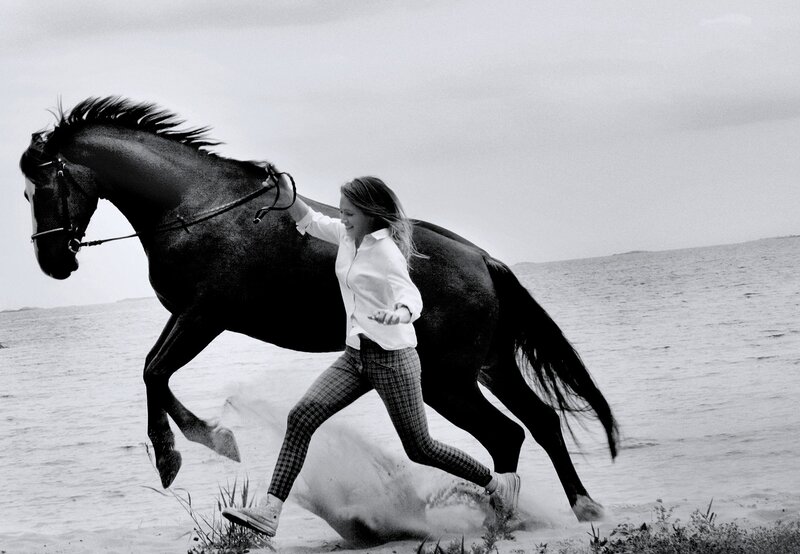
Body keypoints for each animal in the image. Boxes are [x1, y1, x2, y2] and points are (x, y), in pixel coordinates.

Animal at [20, 96, 619, 521]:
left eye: (39, 187)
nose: (53, 262)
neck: (197, 206)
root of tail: (485, 261)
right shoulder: (185, 315)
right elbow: (151, 371)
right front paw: (197, 442)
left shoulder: (204, 316)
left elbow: (154, 371)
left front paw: (192, 447)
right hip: (486, 367)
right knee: (538, 423)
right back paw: (576, 507)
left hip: (445, 381)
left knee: (507, 434)